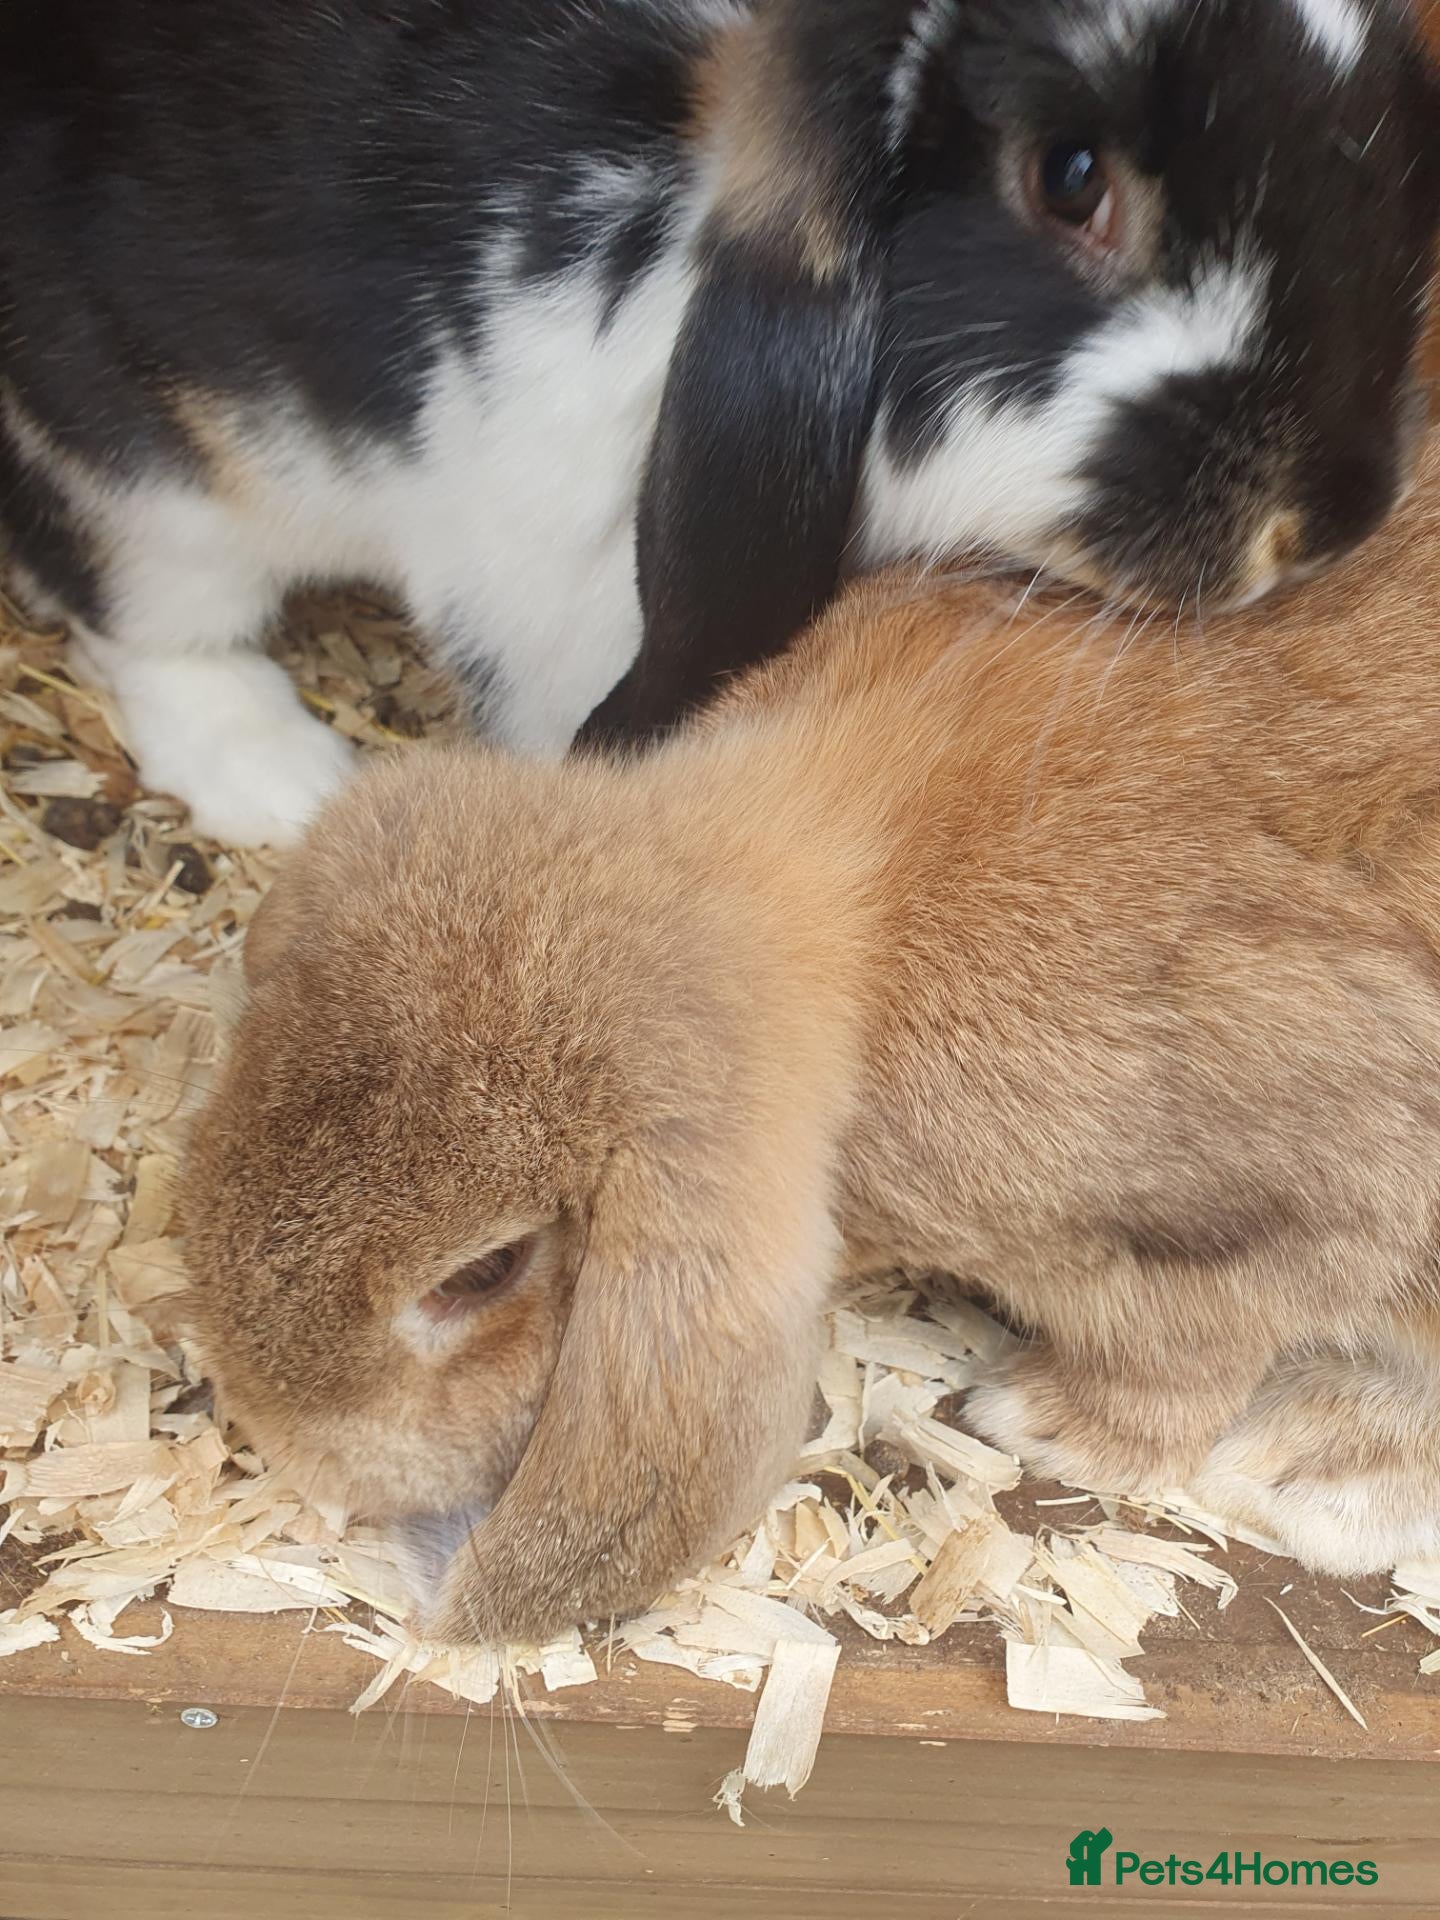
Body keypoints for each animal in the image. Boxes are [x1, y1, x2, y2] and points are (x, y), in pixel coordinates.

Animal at [183, 427, 1440, 1647]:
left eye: (483, 1272)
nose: (287, 1443)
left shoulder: (1270, 1209)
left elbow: (1186, 1354)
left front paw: (1040, 1421)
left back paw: (1309, 1473)